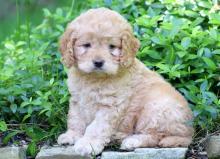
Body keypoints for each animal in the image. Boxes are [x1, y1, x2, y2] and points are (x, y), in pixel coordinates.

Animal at [57, 7, 193, 157]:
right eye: (86, 45)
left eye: (112, 46)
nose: (98, 62)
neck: (94, 78)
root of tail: (190, 132)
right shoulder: (77, 100)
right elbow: (75, 119)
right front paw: (72, 135)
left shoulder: (110, 106)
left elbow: (97, 127)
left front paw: (88, 144)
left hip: (156, 109)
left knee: (156, 136)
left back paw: (132, 141)